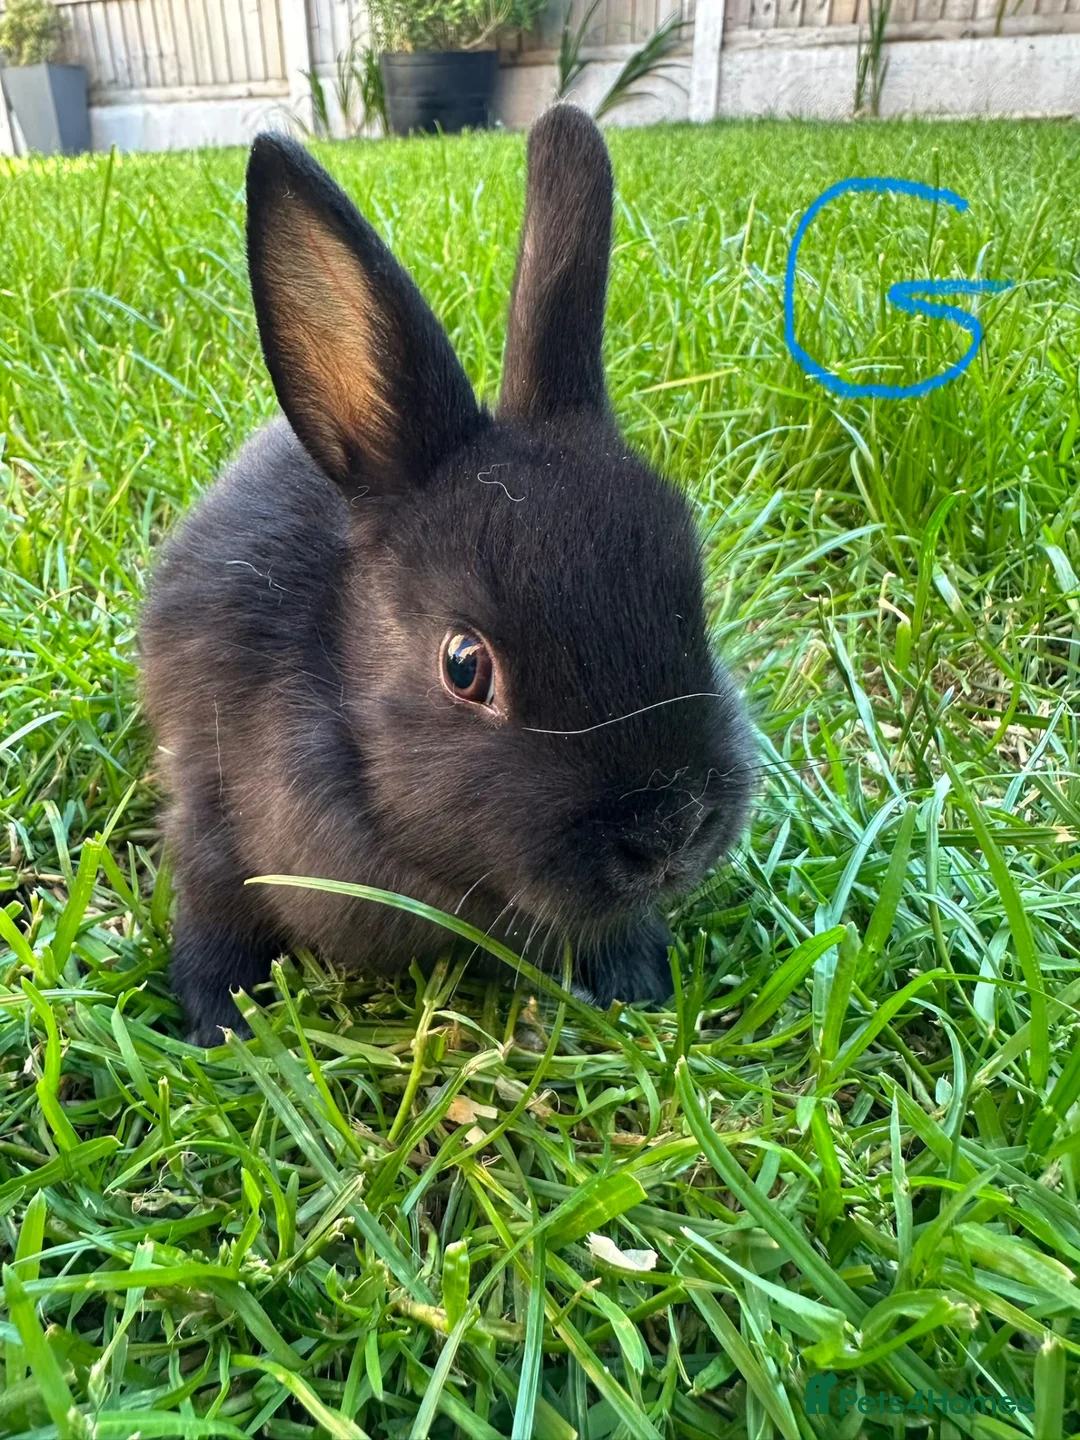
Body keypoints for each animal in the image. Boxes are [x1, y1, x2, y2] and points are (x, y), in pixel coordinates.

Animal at [139, 104, 754, 1047]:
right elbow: (210, 916)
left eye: (693, 602)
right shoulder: (208, 817)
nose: (671, 832)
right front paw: (222, 1025)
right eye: (465, 667)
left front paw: (633, 981)